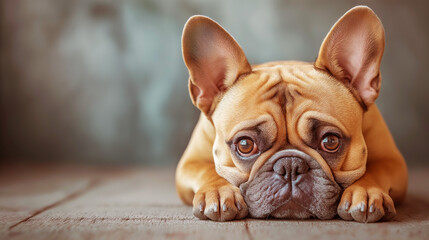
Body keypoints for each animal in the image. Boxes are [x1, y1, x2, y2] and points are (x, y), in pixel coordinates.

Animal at [175, 6, 408, 223]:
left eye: (330, 141)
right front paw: (219, 193)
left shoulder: (392, 161)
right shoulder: (190, 163)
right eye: (245, 145)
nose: (290, 166)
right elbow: (208, 170)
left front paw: (366, 192)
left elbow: (375, 170)